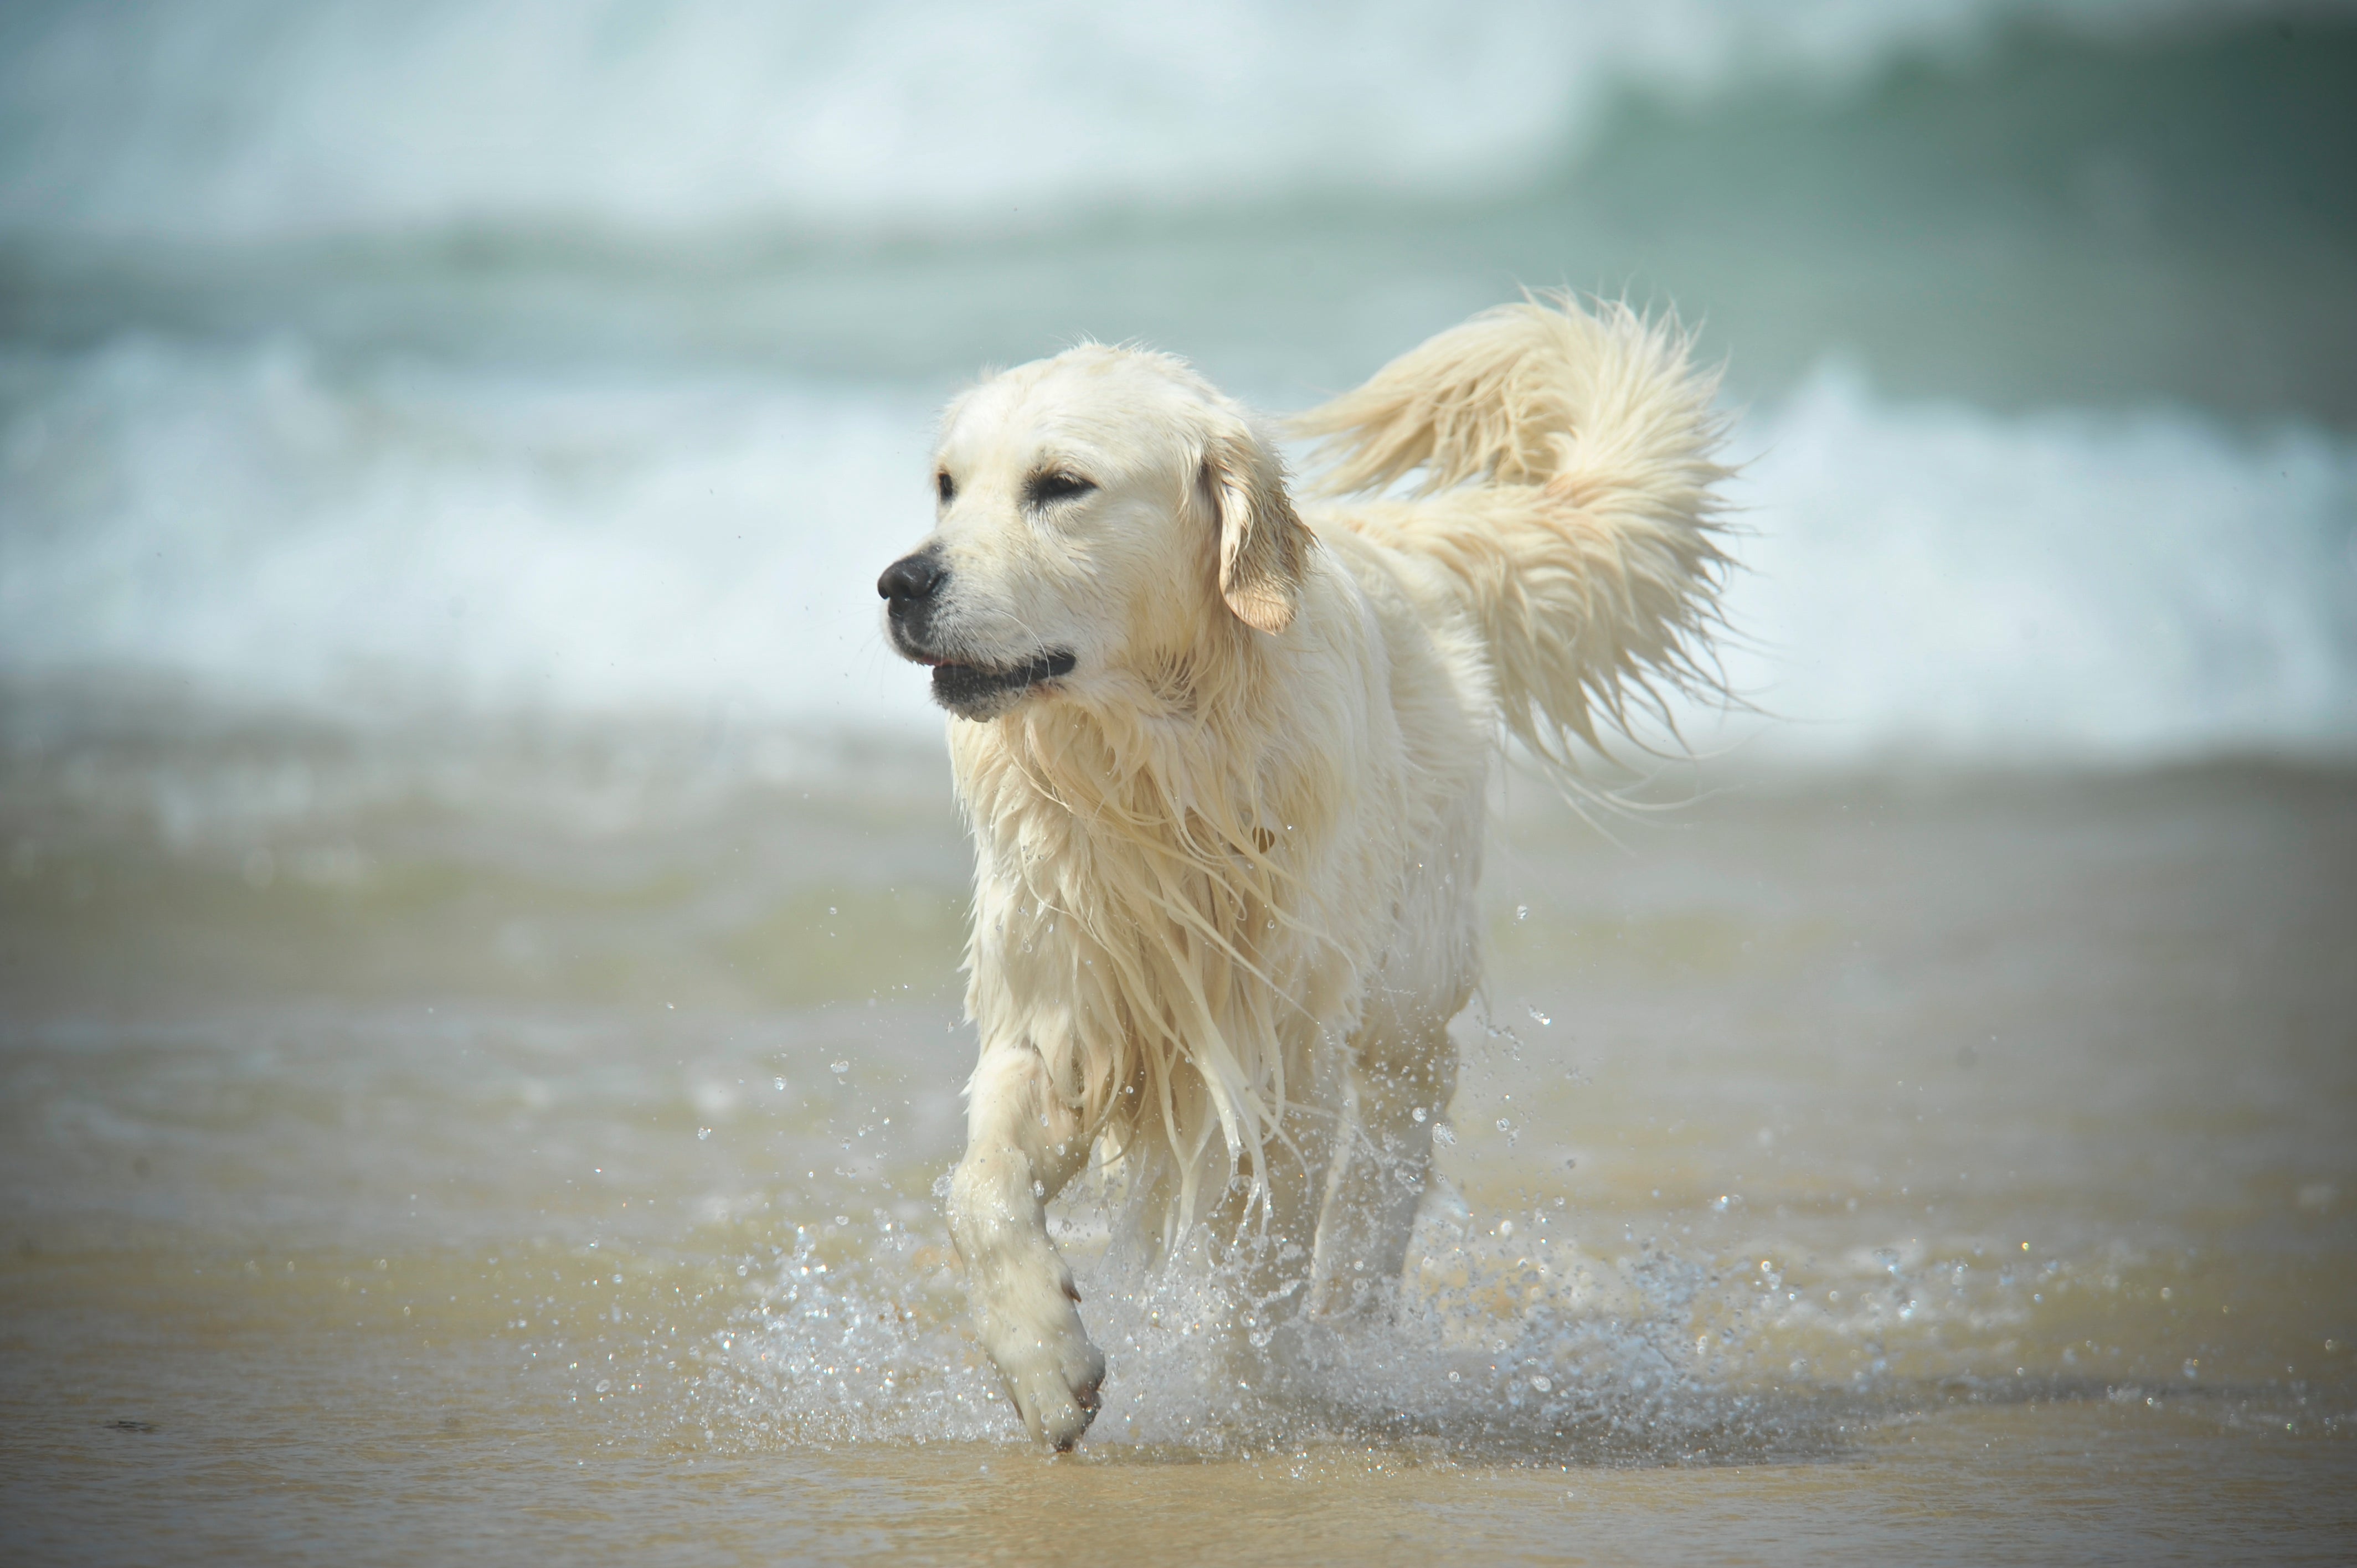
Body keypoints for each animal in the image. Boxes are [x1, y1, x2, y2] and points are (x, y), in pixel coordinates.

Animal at [877, 293, 1725, 1443]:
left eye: (1060, 485)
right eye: (946, 484)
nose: (900, 582)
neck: (1156, 768)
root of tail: (1399, 538)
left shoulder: (1281, 1042)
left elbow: (1266, 1250)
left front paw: (1260, 1394)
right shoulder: (1067, 1005)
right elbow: (979, 1189)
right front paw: (1045, 1361)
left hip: (1407, 969)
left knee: (1402, 1118)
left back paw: (1351, 1313)